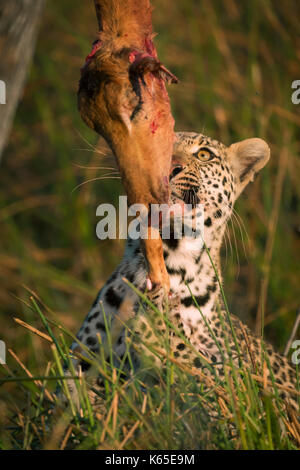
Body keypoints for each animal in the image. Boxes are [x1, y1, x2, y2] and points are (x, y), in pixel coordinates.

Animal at [67, 132, 298, 414]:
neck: (168, 257)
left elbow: (197, 372)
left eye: (204, 155)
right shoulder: (82, 369)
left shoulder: (236, 398)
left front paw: (160, 318)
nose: (167, 168)